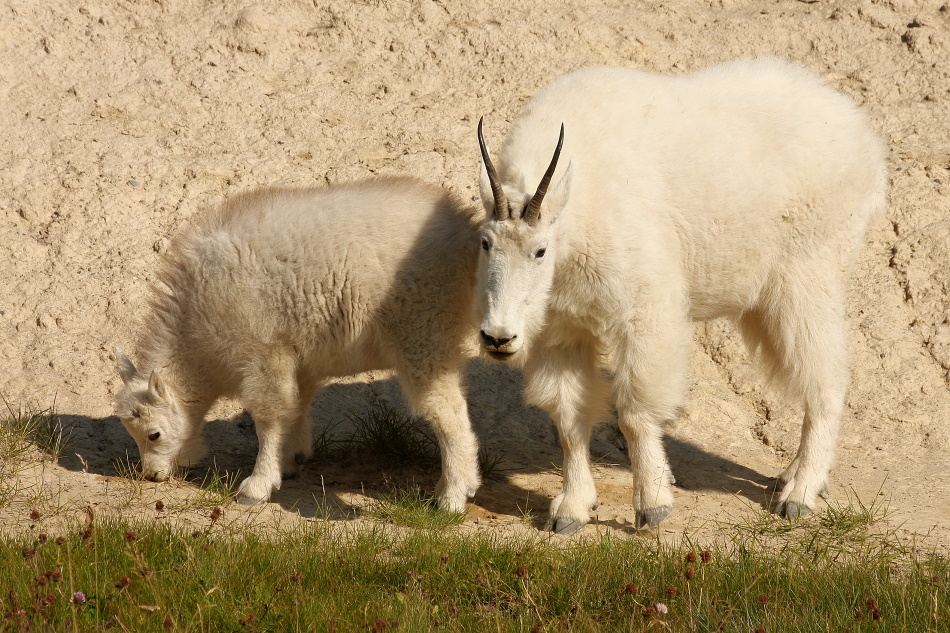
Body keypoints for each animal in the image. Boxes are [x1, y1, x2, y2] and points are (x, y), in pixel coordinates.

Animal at [113, 178, 484, 508]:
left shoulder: (263, 352)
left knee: (446, 411)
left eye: (154, 434)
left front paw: (258, 485)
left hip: (423, 333)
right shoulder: (299, 358)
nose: (152, 475)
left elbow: (270, 416)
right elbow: (296, 407)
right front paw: (290, 461)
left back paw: (453, 495)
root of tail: (466, 232)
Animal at [480, 56, 888, 532]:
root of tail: (867, 141)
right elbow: (568, 418)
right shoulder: (563, 328)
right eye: (485, 243)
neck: (577, 211)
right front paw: (571, 509)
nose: (498, 338)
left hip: (809, 278)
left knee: (827, 379)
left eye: (540, 250)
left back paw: (801, 493)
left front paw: (652, 505)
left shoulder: (646, 311)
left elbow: (636, 414)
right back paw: (795, 476)